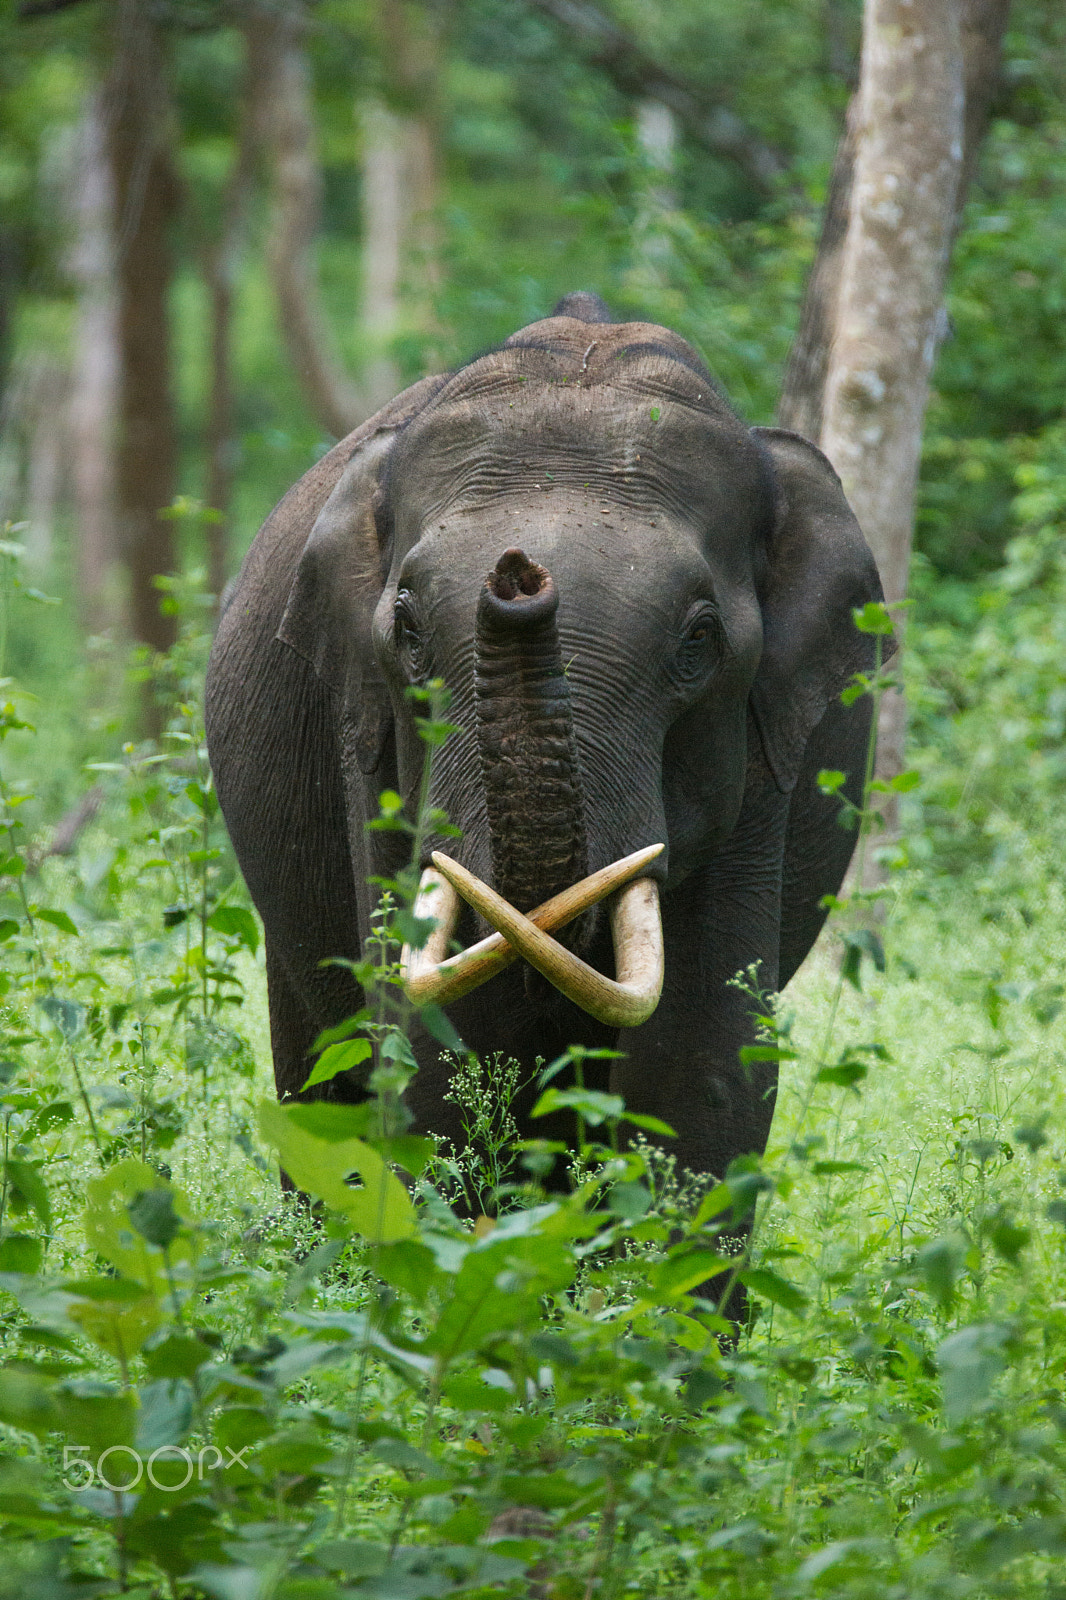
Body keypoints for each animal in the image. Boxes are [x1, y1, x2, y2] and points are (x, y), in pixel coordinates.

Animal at [203, 294, 883, 1203]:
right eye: (407, 629)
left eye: (698, 641)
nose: (519, 575)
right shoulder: (368, 739)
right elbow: (438, 1048)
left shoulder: (764, 752)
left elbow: (701, 1066)